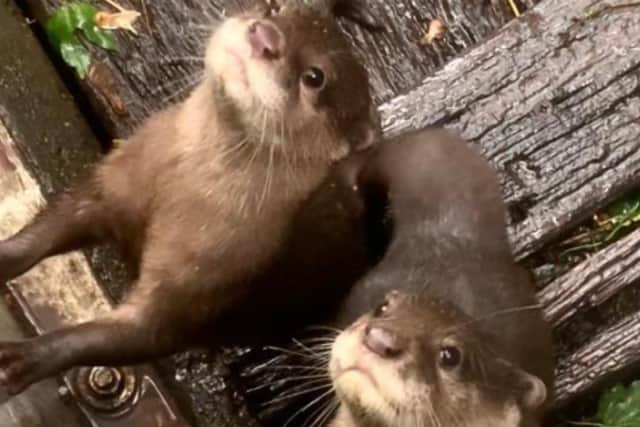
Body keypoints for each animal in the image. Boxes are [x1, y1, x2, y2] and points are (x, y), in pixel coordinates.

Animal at [0, 0, 380, 395]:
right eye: (272, 8)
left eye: (315, 77)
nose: (265, 36)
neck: (179, 194)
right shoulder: (117, 181)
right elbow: (54, 224)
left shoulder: (204, 282)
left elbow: (122, 336)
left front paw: (23, 359)